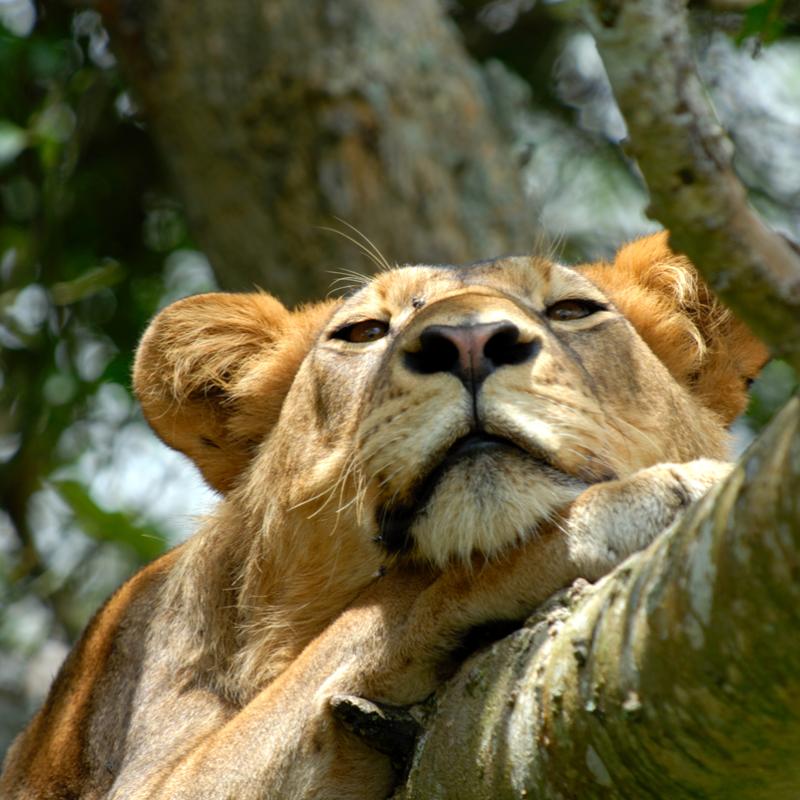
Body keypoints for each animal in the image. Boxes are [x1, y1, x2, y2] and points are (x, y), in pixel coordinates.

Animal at [1, 233, 767, 799]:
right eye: (366, 330)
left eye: (573, 310)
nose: (468, 342)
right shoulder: (154, 774)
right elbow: (388, 601)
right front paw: (641, 501)